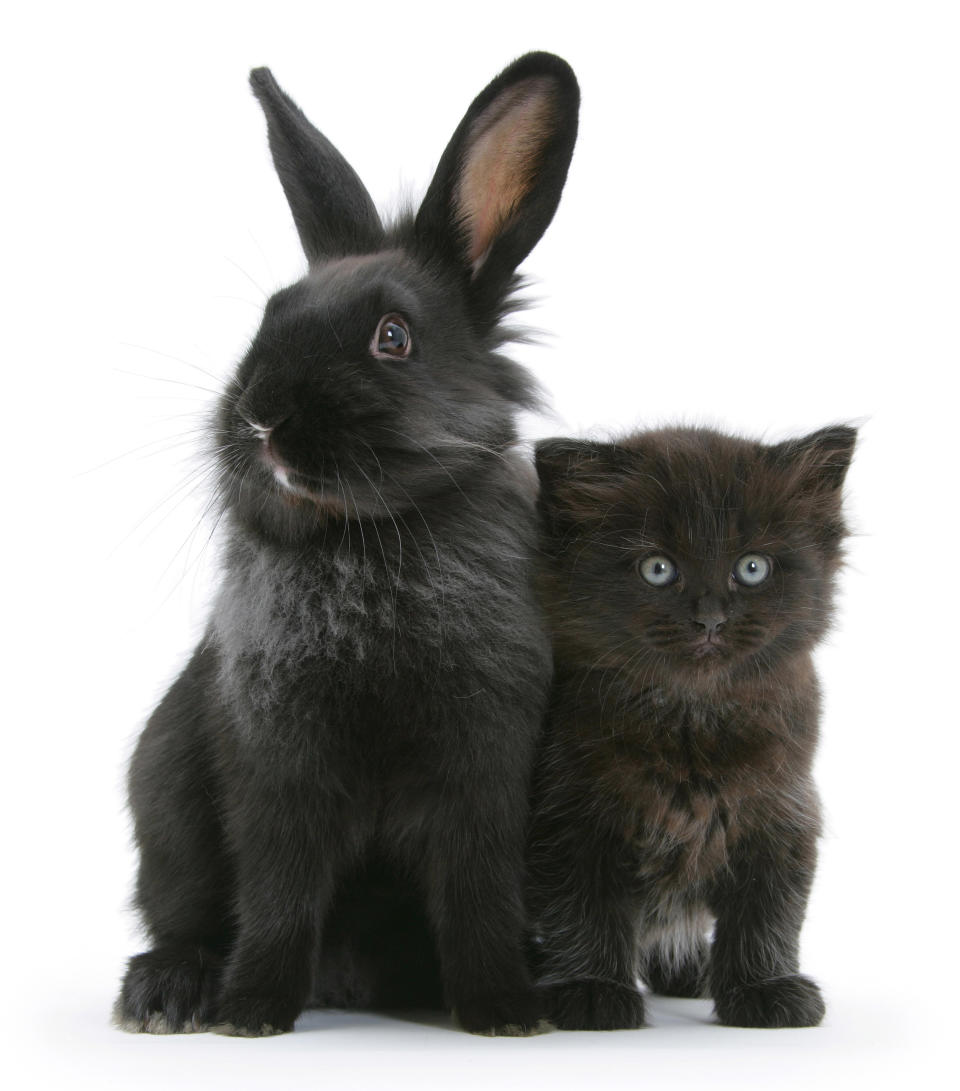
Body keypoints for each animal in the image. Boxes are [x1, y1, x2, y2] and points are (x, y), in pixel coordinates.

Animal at [112, 53, 576, 1038]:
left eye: (392, 337)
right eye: (269, 316)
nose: (262, 417)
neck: (365, 538)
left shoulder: (486, 765)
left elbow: (478, 891)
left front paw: (505, 1011)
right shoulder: (277, 766)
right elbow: (280, 891)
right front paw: (249, 1012)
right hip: (162, 794)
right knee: (181, 918)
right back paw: (169, 992)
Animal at [532, 421, 855, 1025]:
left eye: (752, 567)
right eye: (658, 568)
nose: (710, 620)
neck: (692, 720)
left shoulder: (781, 814)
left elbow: (768, 910)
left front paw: (764, 987)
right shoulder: (568, 818)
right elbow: (582, 908)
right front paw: (591, 989)